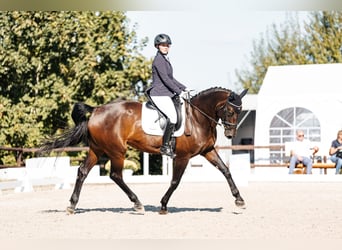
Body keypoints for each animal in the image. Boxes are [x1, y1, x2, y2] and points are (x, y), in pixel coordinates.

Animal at [41, 87, 247, 214]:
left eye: (240, 111)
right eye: (230, 111)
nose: (230, 134)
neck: (197, 117)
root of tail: (96, 110)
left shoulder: (208, 150)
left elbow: (226, 171)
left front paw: (239, 200)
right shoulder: (182, 156)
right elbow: (175, 181)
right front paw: (163, 205)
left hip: (97, 149)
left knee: (83, 171)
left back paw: (72, 205)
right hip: (117, 151)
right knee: (116, 175)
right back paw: (137, 204)